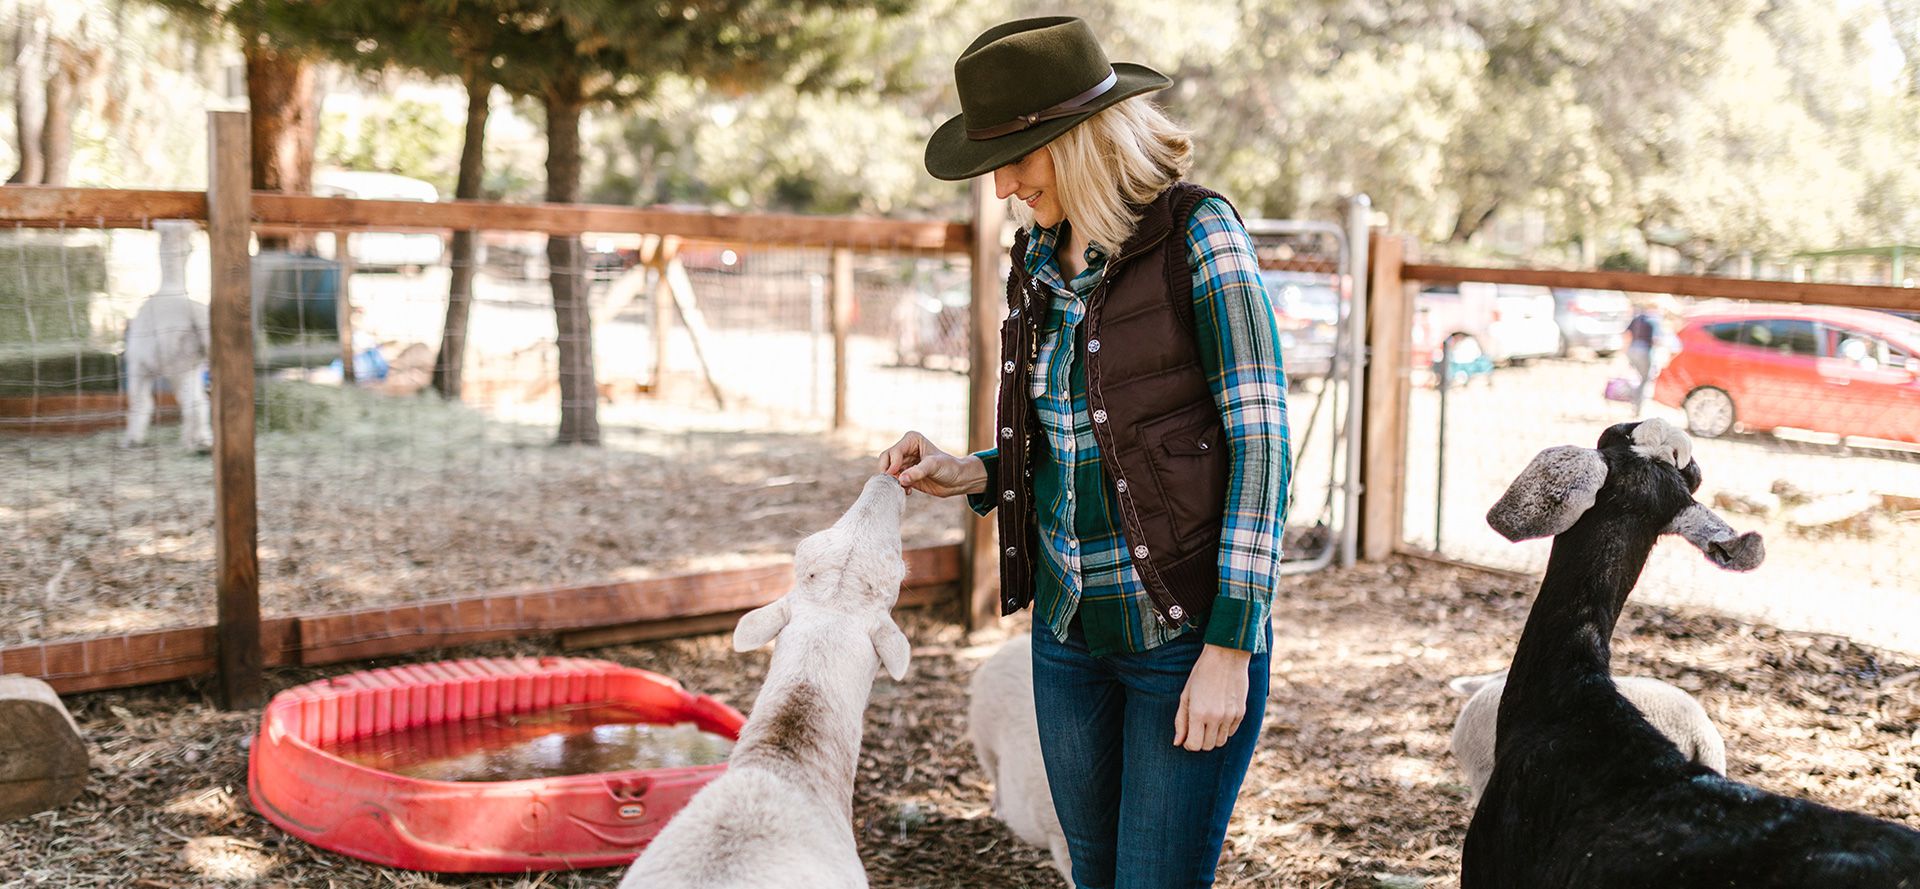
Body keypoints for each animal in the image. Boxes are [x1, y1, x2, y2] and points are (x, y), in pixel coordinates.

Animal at [123, 218, 212, 449]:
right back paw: (202, 439)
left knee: (192, 403)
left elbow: (140, 402)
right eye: (191, 245)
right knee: (201, 401)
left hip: (178, 364)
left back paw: (190, 443)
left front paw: (132, 438)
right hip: (195, 363)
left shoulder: (137, 365)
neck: (171, 287)